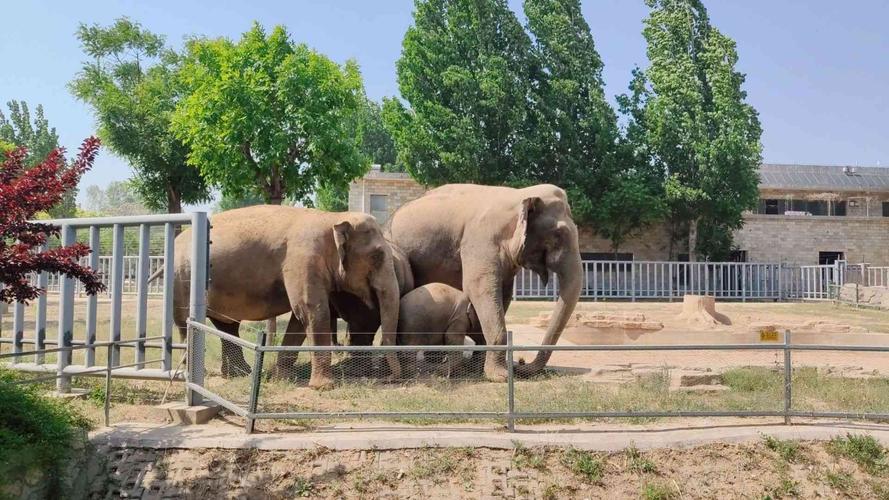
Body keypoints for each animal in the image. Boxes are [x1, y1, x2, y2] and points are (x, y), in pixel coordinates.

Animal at [172, 205, 400, 388]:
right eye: (377, 256)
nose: (387, 379)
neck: (332, 218)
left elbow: (300, 318)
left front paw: (281, 377)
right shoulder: (303, 260)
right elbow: (313, 311)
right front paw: (324, 387)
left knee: (227, 325)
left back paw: (241, 374)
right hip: (181, 279)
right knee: (185, 325)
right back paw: (189, 374)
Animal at [388, 184, 584, 378]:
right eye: (559, 234)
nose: (520, 363)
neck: (518, 194)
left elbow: (503, 295)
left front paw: (477, 369)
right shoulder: (480, 241)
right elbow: (480, 289)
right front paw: (500, 376)